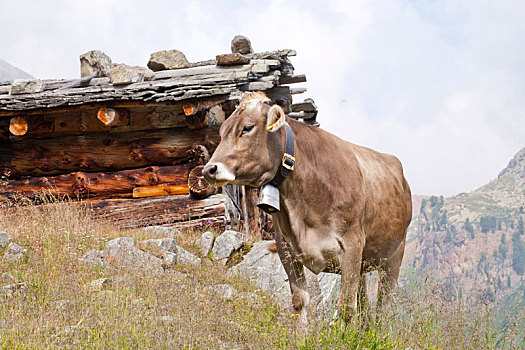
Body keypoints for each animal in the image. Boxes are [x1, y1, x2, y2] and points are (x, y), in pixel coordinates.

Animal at [203, 91, 412, 322]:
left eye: (247, 128)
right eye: (222, 131)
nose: (208, 169)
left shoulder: (352, 246)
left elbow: (346, 308)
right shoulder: (286, 249)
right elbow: (300, 302)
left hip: (394, 256)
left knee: (382, 307)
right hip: (364, 263)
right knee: (364, 305)